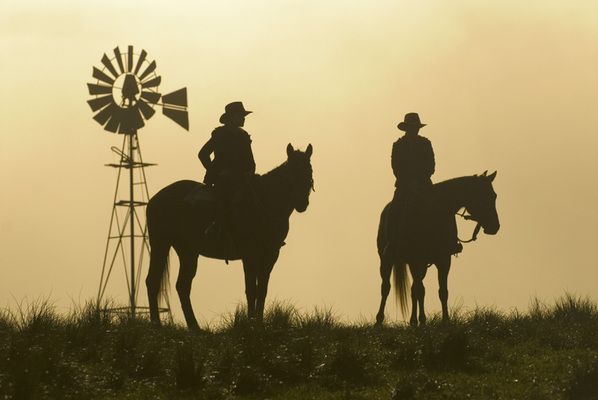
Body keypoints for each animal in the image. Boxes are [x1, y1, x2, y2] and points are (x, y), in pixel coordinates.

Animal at [146, 144, 314, 328]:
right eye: (291, 172)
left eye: (309, 171)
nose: (302, 203)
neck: (264, 203)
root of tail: (155, 199)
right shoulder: (249, 255)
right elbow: (251, 290)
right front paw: (251, 323)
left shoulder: (270, 255)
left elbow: (262, 290)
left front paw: (259, 323)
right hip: (160, 243)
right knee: (153, 281)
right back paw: (156, 323)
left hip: (188, 252)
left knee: (182, 286)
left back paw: (195, 327)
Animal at [378, 170, 500, 326]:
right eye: (482, 196)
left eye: (494, 195)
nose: (494, 226)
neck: (433, 212)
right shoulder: (415, 259)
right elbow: (421, 290)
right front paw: (423, 321)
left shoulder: (444, 260)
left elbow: (442, 292)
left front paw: (445, 320)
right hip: (387, 260)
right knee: (386, 287)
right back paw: (380, 321)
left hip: (421, 266)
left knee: (413, 289)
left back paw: (413, 321)